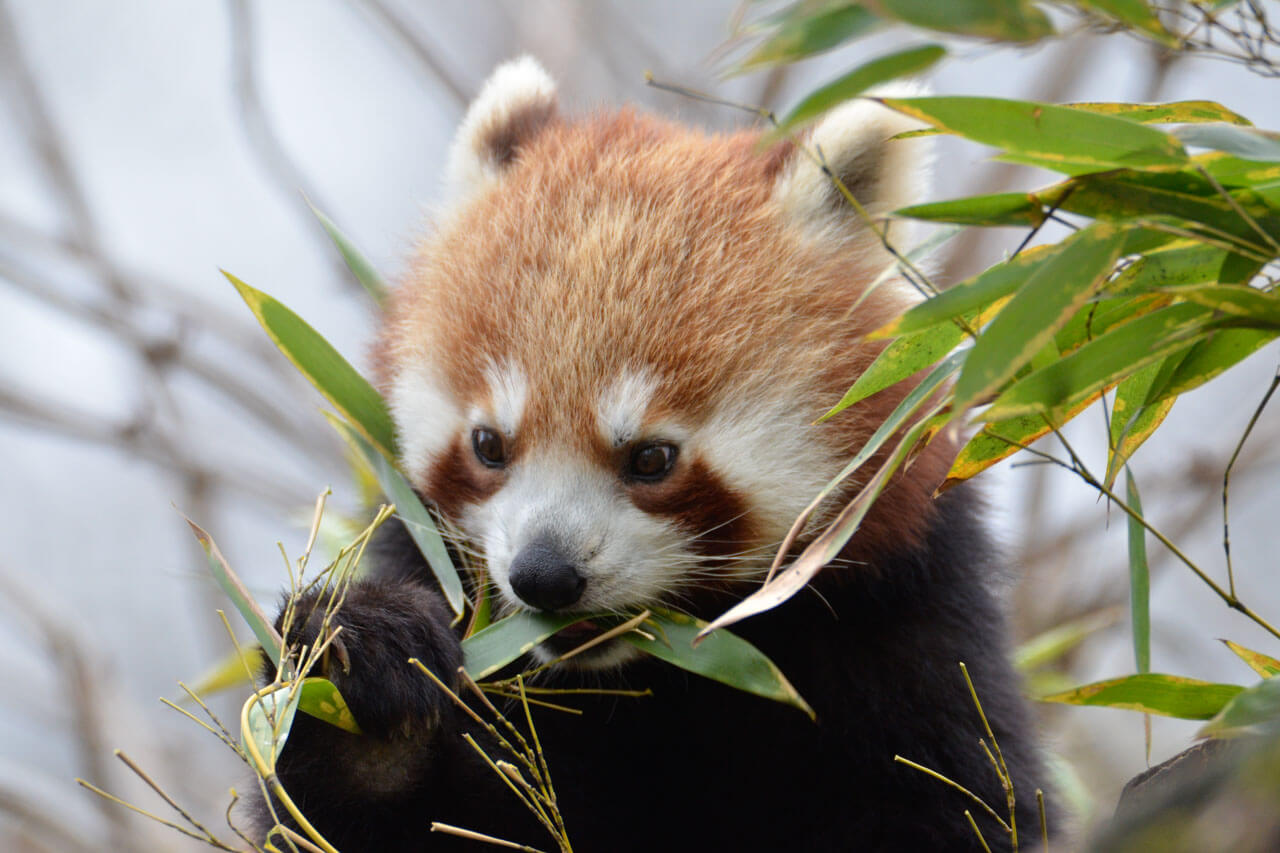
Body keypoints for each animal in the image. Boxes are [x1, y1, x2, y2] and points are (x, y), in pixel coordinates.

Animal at [256, 57, 1052, 852]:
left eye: (650, 459)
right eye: (488, 445)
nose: (544, 575)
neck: (638, 681)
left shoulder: (911, 622)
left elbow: (952, 804)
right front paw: (362, 667)